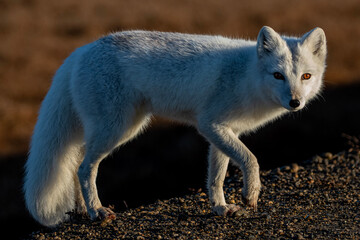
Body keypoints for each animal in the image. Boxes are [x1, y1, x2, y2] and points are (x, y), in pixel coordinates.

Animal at [22, 26, 326, 227]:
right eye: (278, 75)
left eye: (305, 76)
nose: (295, 102)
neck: (246, 76)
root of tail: (81, 50)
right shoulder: (210, 125)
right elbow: (250, 159)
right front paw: (250, 194)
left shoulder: (223, 132)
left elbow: (215, 177)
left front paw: (221, 207)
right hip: (118, 129)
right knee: (85, 168)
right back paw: (98, 211)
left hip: (117, 128)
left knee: (76, 166)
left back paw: (84, 211)